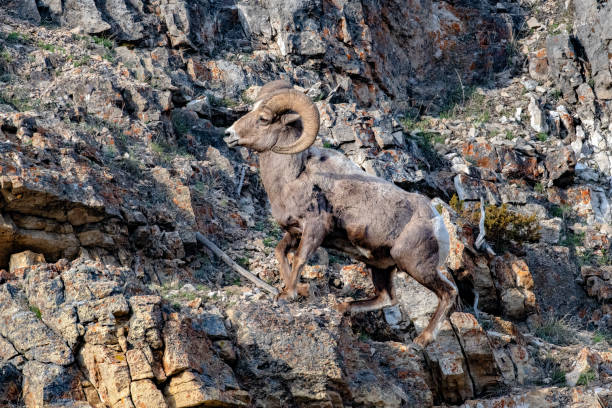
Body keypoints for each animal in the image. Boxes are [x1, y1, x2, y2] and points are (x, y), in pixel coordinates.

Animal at [222, 81, 456, 346]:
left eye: (263, 119)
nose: (228, 134)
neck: (294, 176)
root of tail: (437, 223)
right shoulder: (294, 232)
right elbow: (281, 253)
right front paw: (300, 290)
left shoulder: (315, 229)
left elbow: (300, 258)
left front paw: (288, 295)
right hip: (381, 267)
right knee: (387, 298)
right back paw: (342, 307)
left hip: (416, 266)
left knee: (448, 293)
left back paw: (422, 339)